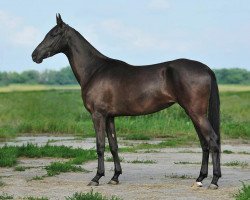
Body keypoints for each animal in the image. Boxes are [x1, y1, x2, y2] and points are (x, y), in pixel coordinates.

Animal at [31, 14, 221, 189]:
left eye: (53, 34)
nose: (34, 55)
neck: (95, 70)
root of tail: (206, 68)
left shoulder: (98, 115)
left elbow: (100, 145)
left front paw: (96, 178)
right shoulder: (109, 117)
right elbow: (114, 145)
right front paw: (115, 177)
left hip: (196, 113)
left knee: (212, 139)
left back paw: (214, 181)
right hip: (193, 114)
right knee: (204, 143)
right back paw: (200, 179)